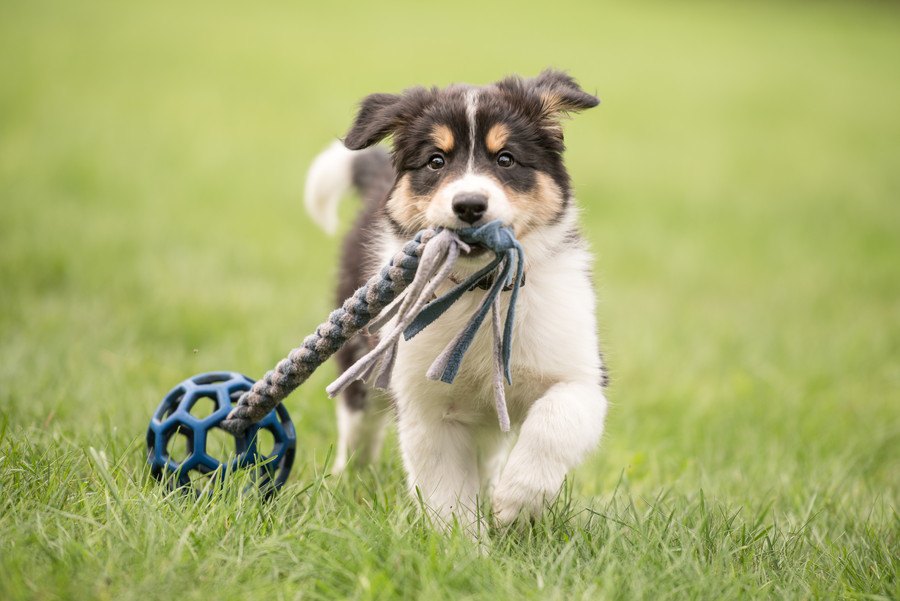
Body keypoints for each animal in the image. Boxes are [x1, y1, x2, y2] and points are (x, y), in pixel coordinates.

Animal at [306, 71, 608, 528]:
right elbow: (446, 493)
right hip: (360, 359)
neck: (478, 290)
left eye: (506, 159)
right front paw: (462, 541)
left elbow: (555, 423)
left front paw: (513, 502)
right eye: (436, 161)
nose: (468, 204)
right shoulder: (425, 407)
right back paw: (348, 480)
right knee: (357, 427)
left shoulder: (581, 374)